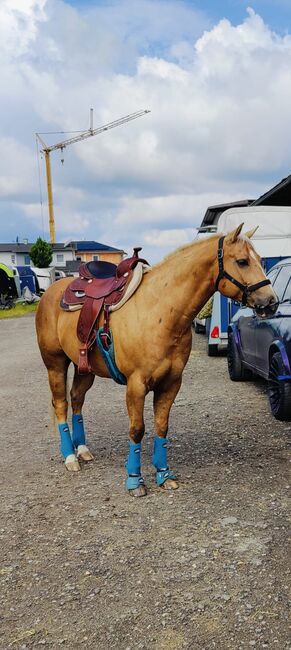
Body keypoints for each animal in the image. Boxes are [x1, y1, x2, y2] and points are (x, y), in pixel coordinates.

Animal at [36, 224, 278, 496]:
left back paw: (83, 450)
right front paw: (134, 480)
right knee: (61, 404)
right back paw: (69, 457)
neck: (159, 310)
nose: (271, 302)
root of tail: (52, 291)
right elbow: (137, 430)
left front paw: (164, 474)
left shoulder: (171, 383)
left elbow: (162, 426)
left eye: (260, 259)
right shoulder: (136, 385)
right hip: (55, 364)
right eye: (242, 261)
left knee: (77, 399)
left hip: (84, 367)